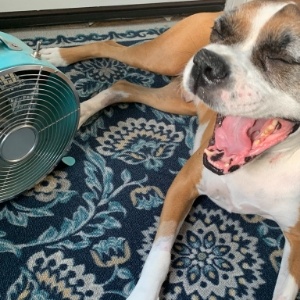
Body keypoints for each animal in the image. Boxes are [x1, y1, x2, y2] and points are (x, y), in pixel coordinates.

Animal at [40, 1, 300, 298]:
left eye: (283, 59)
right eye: (219, 31)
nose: (206, 60)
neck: (264, 162)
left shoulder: (297, 245)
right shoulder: (183, 185)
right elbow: (160, 253)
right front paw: (143, 292)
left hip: (175, 100)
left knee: (123, 86)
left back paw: (80, 110)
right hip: (160, 58)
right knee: (111, 47)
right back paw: (58, 61)